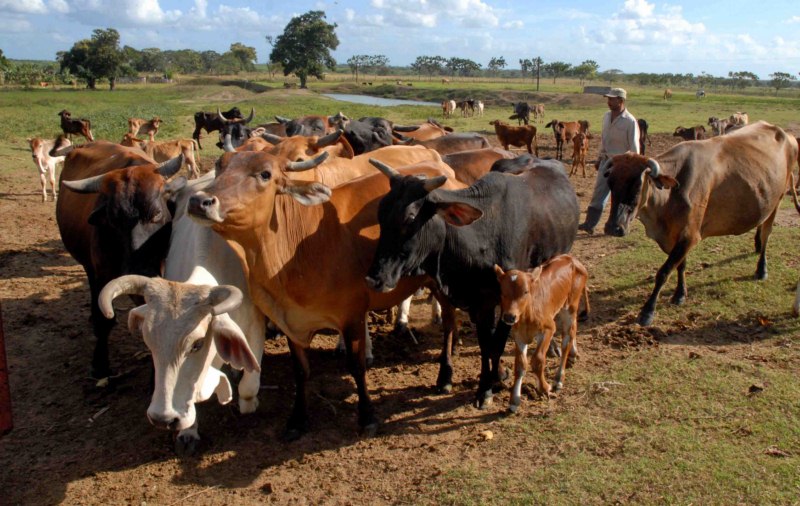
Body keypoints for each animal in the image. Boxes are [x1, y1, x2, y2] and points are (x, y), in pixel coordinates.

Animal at [57, 140, 186, 378]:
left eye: (156, 213)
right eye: (112, 219)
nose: (139, 270)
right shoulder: (103, 275)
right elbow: (104, 320)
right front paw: (100, 364)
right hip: (90, 269)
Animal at [99, 174, 266, 454]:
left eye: (197, 344)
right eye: (149, 343)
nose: (163, 419)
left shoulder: (255, 325)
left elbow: (249, 383)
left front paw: (248, 402)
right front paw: (187, 432)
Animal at [494, 255, 588, 410]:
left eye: (525, 292)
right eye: (502, 292)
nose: (509, 317)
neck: (527, 315)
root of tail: (571, 258)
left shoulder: (548, 328)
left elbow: (537, 359)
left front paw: (545, 388)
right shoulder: (518, 335)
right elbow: (520, 364)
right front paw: (514, 401)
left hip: (571, 304)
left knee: (567, 338)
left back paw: (559, 379)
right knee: (573, 329)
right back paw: (574, 354)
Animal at [604, 123, 796, 328]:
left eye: (637, 186)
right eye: (611, 183)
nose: (613, 227)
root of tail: (783, 132)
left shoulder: (690, 235)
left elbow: (664, 272)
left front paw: (647, 311)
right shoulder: (678, 237)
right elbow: (681, 265)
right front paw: (680, 294)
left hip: (778, 200)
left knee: (767, 234)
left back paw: (762, 268)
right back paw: (757, 245)